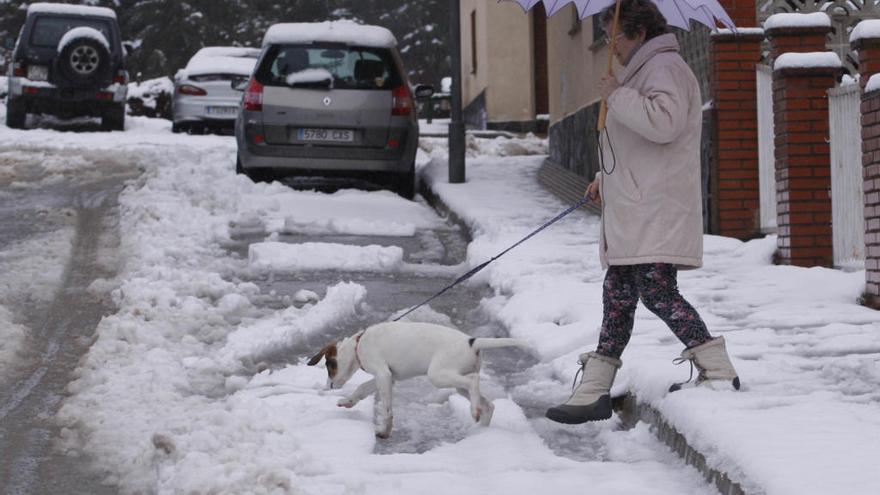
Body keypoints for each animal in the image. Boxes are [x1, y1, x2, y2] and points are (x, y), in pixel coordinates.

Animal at [310, 322, 528, 438]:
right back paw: (481, 431)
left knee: (474, 381)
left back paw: (474, 412)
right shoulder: (388, 377)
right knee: (489, 404)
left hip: (439, 375)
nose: (328, 387)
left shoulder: (383, 375)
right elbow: (361, 388)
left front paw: (385, 431)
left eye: (329, 366)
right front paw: (347, 401)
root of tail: (472, 342)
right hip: (457, 381)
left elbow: (387, 409)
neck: (358, 345)